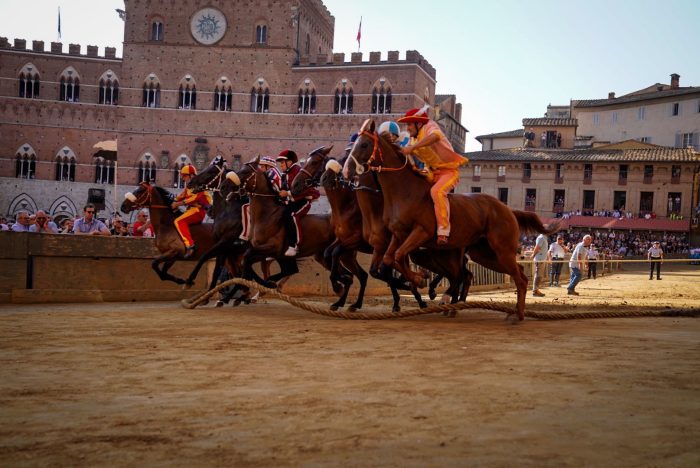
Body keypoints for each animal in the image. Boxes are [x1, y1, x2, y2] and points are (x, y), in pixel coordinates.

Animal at [344, 119, 556, 322]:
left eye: (364, 144)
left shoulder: (422, 232)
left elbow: (398, 256)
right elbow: (391, 258)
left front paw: (419, 278)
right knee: (512, 273)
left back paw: (516, 314)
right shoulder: (398, 234)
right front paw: (419, 278)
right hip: (485, 254)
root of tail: (508, 209)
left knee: (516, 278)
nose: (346, 171)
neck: (404, 192)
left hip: (501, 249)